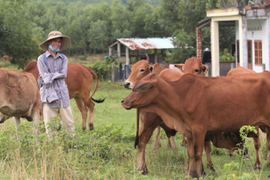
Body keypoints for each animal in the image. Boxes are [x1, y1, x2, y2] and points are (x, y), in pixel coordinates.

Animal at [121, 72, 270, 179]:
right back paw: (142, 169)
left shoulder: (199, 130)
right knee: (142, 142)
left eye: (141, 88)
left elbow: (197, 154)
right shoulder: (189, 131)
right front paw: (191, 173)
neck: (181, 95)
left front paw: (197, 174)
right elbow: (191, 154)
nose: (124, 101)